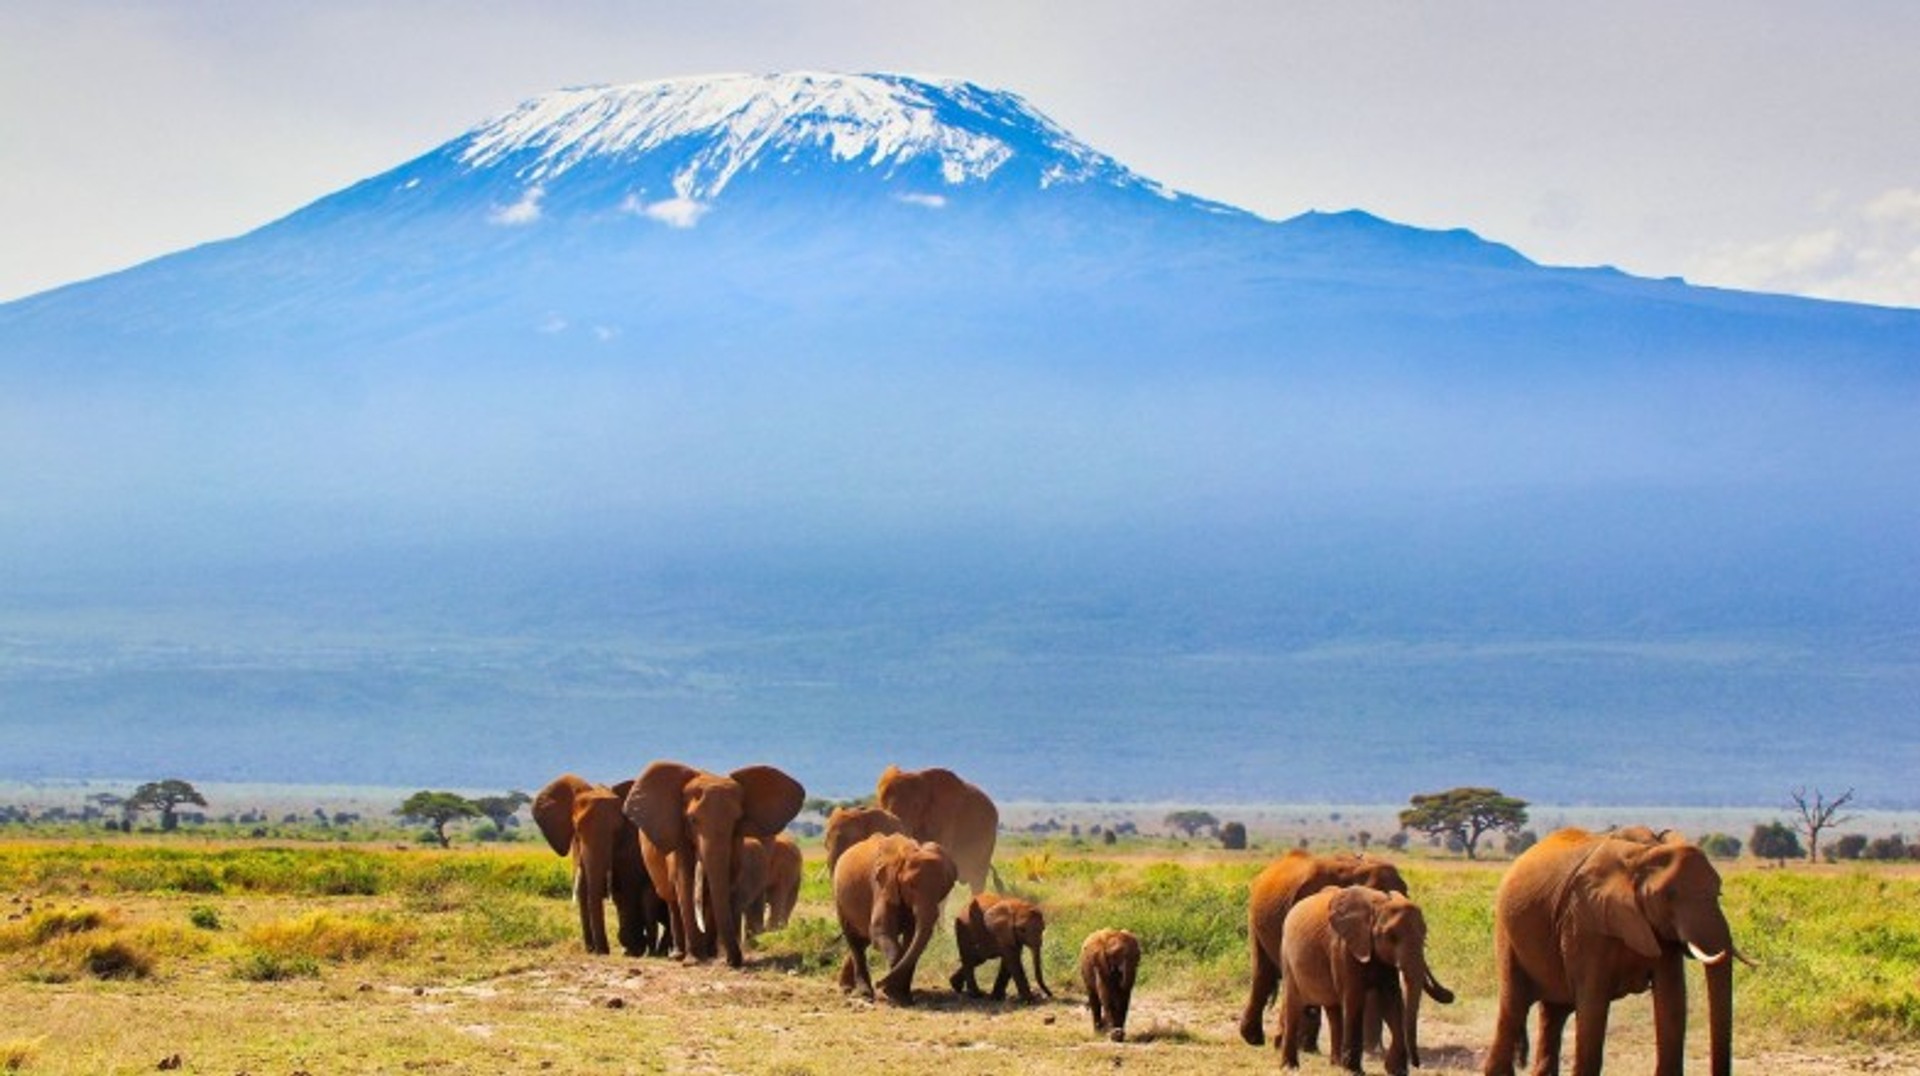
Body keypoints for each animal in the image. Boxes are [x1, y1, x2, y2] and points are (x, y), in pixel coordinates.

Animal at [531, 774, 664, 956]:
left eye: (616, 830)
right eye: (577, 829)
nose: (601, 951)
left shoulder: (632, 844)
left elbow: (627, 887)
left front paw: (632, 948)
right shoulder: (576, 846)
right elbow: (585, 888)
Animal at [622, 760, 806, 968]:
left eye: (737, 820)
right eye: (692, 820)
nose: (733, 961)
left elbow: (723, 885)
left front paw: (713, 955)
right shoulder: (679, 836)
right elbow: (685, 882)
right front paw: (694, 960)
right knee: (672, 900)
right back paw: (678, 955)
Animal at [832, 832, 959, 1004]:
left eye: (943, 889)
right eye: (911, 885)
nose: (879, 983)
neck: (909, 852)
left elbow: (910, 941)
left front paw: (902, 997)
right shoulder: (882, 885)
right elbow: (880, 932)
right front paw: (893, 995)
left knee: (863, 941)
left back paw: (849, 988)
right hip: (839, 898)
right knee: (855, 942)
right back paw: (864, 994)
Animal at [1280, 885, 1455, 1075]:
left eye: (1424, 936)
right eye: (1391, 936)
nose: (1417, 1064)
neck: (1378, 906)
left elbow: (1392, 1001)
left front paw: (1397, 1070)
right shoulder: (1344, 947)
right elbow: (1354, 999)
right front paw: (1354, 1071)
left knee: (1333, 1010)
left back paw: (1336, 1064)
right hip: (1287, 956)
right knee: (1294, 1005)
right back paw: (1290, 1067)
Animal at [1486, 826, 1744, 1076]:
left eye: (1719, 893)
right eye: (1669, 896)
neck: (1644, 855)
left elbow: (1672, 999)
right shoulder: (1585, 921)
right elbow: (1593, 1003)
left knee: (1554, 1013)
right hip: (1507, 936)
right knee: (1514, 1006)